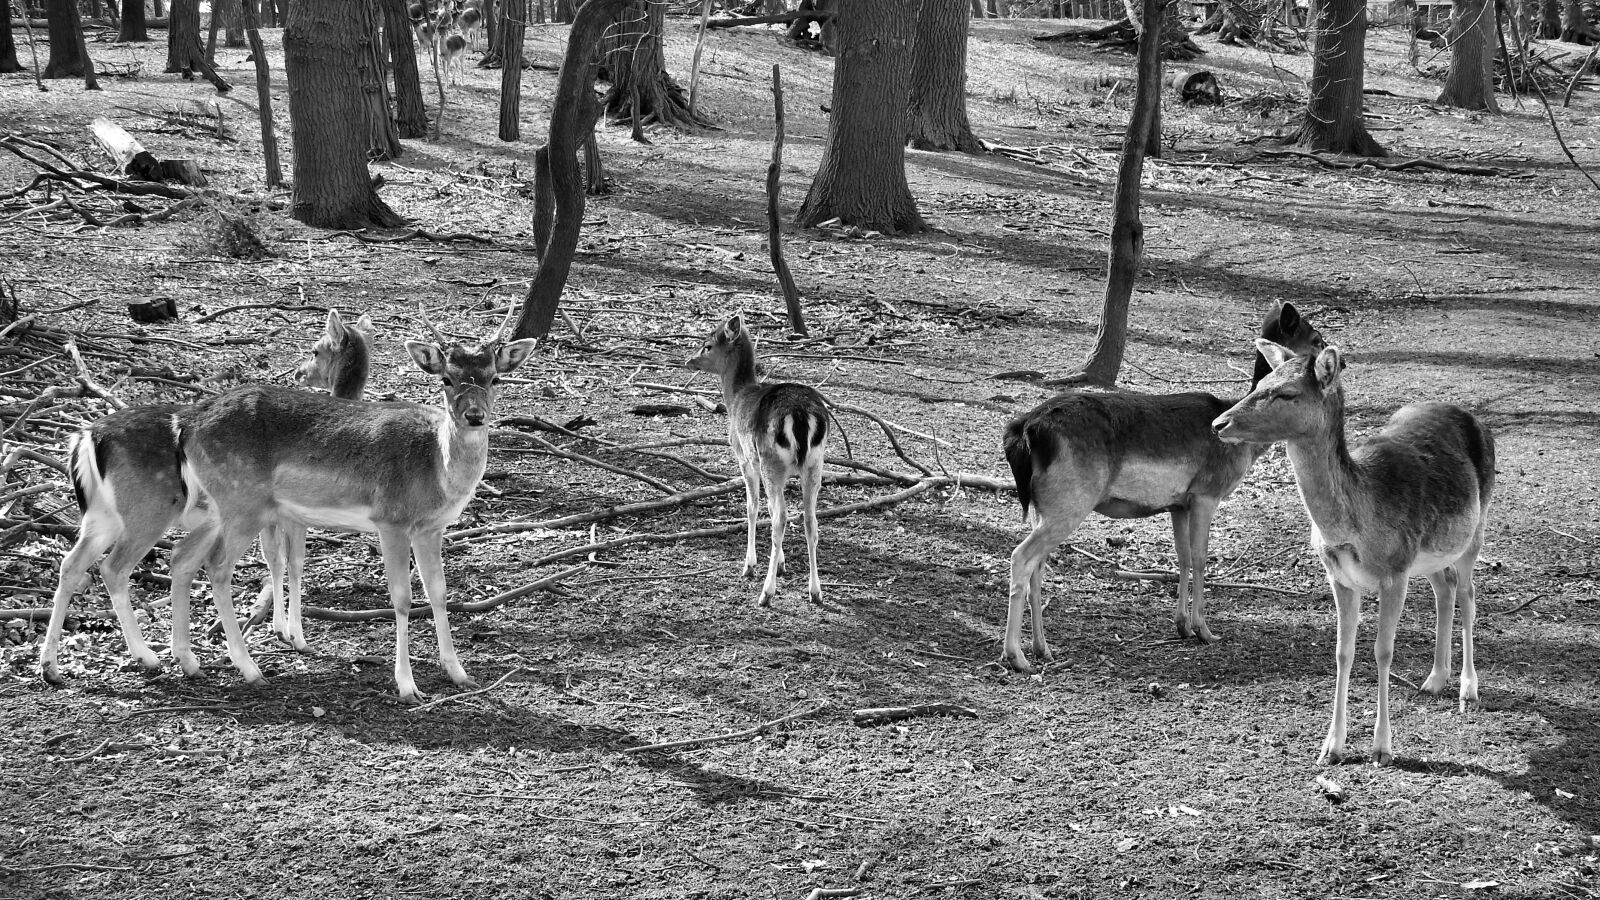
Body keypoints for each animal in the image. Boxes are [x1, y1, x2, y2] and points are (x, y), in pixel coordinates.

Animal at [38, 309, 374, 686]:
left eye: (316, 351)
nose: (300, 372)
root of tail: (84, 438)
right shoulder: (291, 517)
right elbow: (294, 562)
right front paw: (295, 635)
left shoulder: (266, 520)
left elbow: (270, 560)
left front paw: (279, 630)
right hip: (148, 512)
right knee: (115, 567)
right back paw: (152, 656)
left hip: (103, 516)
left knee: (74, 564)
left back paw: (53, 666)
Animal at [164, 305, 536, 703]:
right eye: (447, 379)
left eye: (495, 378)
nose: (475, 416)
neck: (437, 469)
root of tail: (188, 423)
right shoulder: (391, 519)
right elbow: (402, 598)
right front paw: (407, 685)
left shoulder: (431, 528)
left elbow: (439, 592)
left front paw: (459, 672)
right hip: (241, 503)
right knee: (217, 565)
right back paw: (249, 669)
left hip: (215, 506)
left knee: (183, 556)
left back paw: (188, 661)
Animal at [686, 314, 828, 608]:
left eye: (707, 345)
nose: (688, 359)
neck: (735, 398)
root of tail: (801, 414)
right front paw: (782, 564)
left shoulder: (744, 458)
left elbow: (753, 507)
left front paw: (749, 565)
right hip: (815, 465)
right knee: (810, 520)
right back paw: (815, 591)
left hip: (770, 462)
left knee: (780, 518)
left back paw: (766, 593)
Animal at [1000, 301, 1325, 673]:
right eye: (1315, 340)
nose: (1340, 362)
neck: (1243, 447)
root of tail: (1025, 429)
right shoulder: (1206, 492)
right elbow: (1200, 557)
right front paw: (1204, 630)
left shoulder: (1178, 504)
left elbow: (1181, 556)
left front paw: (1182, 625)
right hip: (1070, 501)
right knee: (1021, 557)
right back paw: (1016, 655)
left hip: (1043, 506)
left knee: (1037, 566)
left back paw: (1043, 648)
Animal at [1212, 342, 1494, 766]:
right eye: (1260, 381)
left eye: (1288, 393)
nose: (1219, 424)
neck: (1353, 527)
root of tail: (1471, 417)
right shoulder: (1340, 576)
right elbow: (1343, 653)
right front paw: (1331, 747)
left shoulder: (1394, 573)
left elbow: (1383, 652)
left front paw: (1382, 748)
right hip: (1429, 551)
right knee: (1444, 587)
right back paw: (1433, 680)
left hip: (1475, 527)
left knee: (1468, 594)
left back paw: (1467, 688)